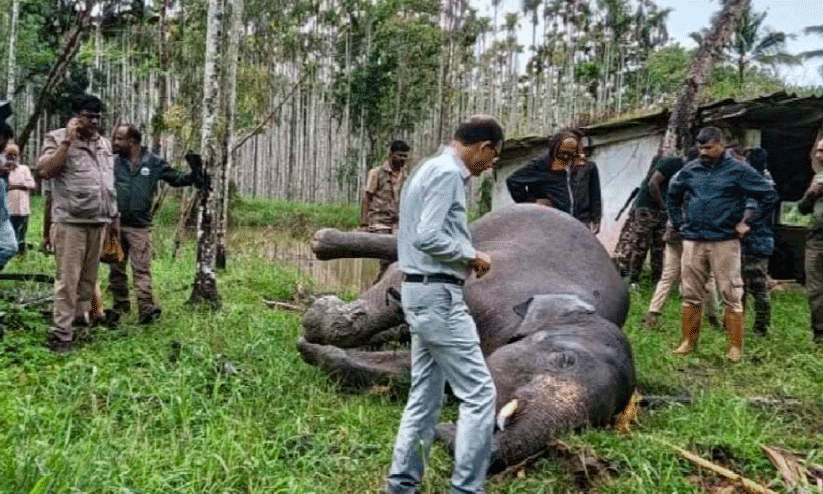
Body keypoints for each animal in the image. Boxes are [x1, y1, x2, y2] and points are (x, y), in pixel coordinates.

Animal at [297, 203, 636, 470]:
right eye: (564, 360)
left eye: (593, 424)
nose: (445, 429)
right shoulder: (495, 283)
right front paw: (316, 319)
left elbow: (411, 369)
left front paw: (315, 349)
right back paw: (321, 242)